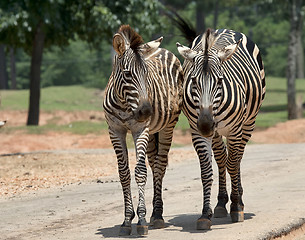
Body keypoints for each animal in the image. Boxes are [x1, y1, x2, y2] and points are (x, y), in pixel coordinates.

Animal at [102, 25, 183, 235]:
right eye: (127, 74)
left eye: (147, 74)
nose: (147, 111)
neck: (124, 104)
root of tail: (162, 49)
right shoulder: (115, 131)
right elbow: (124, 173)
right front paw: (126, 220)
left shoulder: (141, 129)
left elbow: (140, 171)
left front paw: (141, 219)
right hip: (153, 131)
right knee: (154, 164)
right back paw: (154, 212)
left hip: (167, 127)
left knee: (160, 165)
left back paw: (157, 215)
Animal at [176, 27, 264, 229]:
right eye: (193, 81)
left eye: (219, 81)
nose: (206, 124)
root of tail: (224, 29)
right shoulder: (197, 132)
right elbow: (207, 172)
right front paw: (205, 214)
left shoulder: (235, 129)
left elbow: (233, 164)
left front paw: (236, 207)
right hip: (217, 134)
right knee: (222, 158)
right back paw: (222, 203)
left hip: (248, 124)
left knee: (236, 159)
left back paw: (238, 199)